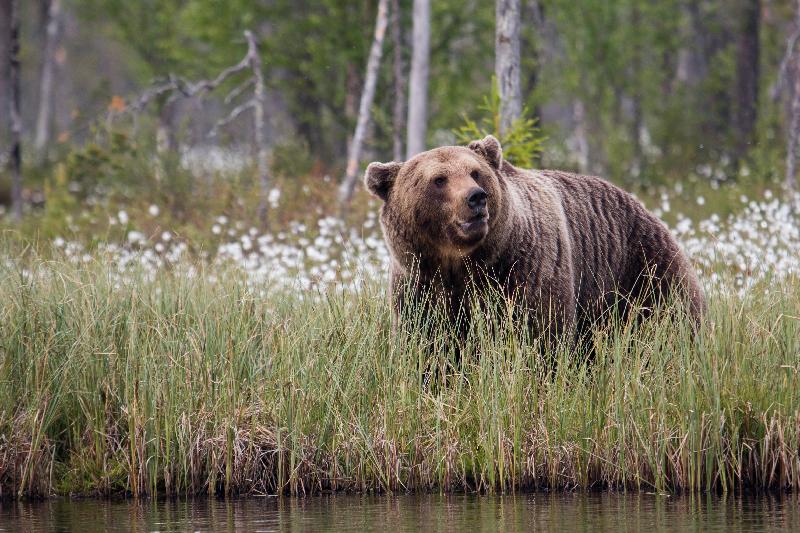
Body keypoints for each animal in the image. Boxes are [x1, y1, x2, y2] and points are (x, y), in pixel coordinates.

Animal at [364, 135, 705, 343]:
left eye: (475, 172)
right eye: (439, 179)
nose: (476, 198)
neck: (462, 264)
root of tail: (644, 206)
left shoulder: (526, 270)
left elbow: (539, 335)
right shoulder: (420, 286)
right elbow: (428, 344)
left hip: (642, 271)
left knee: (671, 319)